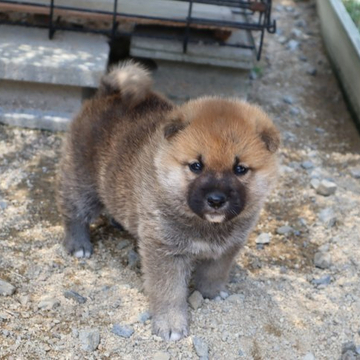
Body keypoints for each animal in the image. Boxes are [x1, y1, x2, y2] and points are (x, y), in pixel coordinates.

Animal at [57, 61, 282, 340]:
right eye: (196, 166)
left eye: (240, 169)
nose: (216, 199)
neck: (206, 225)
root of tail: (109, 93)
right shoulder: (165, 252)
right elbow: (170, 292)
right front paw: (171, 324)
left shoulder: (226, 248)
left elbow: (215, 273)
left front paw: (211, 293)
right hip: (83, 182)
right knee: (74, 211)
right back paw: (78, 244)